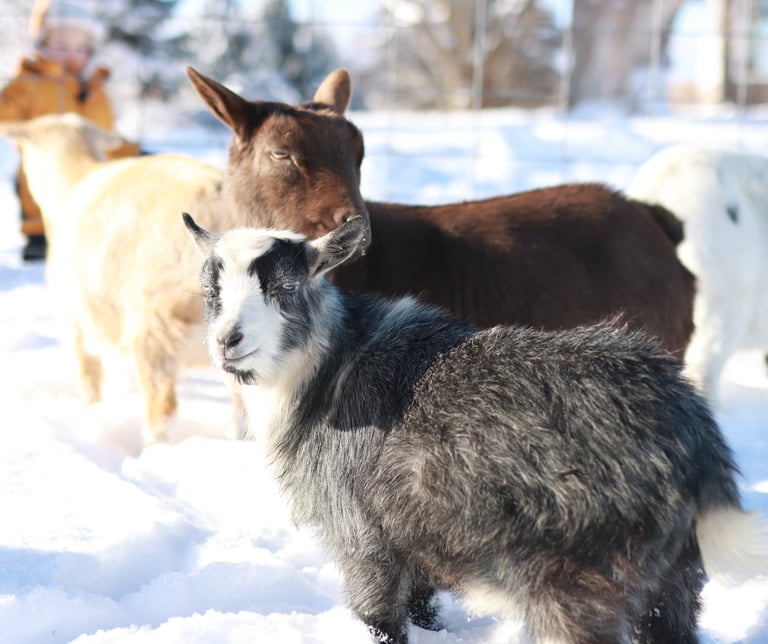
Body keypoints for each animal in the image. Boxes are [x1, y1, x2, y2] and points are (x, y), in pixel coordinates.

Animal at [184, 212, 768, 644]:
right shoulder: (413, 540)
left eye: (286, 285)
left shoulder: (362, 535)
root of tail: (686, 431)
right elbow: (422, 609)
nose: (228, 340)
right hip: (673, 582)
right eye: (210, 292)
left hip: (575, 581)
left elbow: (380, 620)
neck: (328, 368)